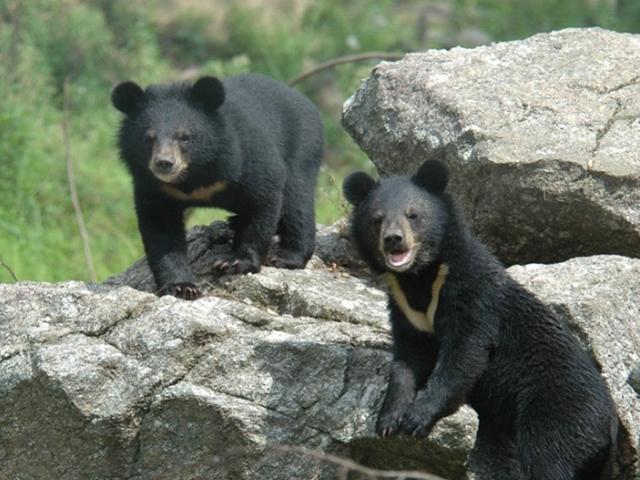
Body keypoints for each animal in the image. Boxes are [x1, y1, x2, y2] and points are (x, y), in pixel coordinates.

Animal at [111, 74, 324, 300]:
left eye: (184, 137)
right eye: (148, 138)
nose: (164, 163)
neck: (195, 175)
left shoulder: (247, 155)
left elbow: (262, 200)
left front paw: (234, 262)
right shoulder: (154, 187)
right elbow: (161, 230)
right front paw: (181, 287)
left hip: (302, 145)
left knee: (296, 200)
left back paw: (287, 257)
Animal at [344, 160, 620, 480]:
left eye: (413, 214)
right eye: (377, 219)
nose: (393, 240)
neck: (419, 279)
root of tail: (611, 427)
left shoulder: (474, 294)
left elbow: (464, 355)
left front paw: (416, 419)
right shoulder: (406, 312)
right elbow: (407, 361)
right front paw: (388, 420)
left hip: (558, 413)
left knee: (548, 457)